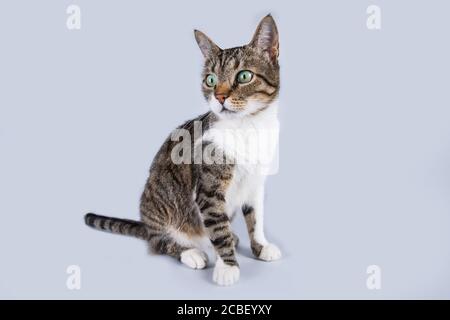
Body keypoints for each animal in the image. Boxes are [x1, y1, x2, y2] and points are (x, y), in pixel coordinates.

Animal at [84, 13, 282, 286]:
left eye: (244, 76)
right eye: (211, 80)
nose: (220, 97)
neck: (247, 127)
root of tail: (147, 224)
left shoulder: (256, 182)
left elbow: (256, 216)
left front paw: (261, 246)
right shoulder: (208, 190)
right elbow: (217, 227)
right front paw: (227, 265)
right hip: (159, 207)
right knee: (160, 242)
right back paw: (191, 252)